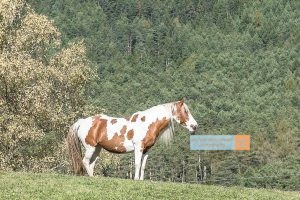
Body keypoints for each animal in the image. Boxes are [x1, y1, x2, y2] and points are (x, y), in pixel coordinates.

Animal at [67, 99, 198, 180]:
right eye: (186, 111)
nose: (195, 126)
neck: (147, 123)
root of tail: (82, 121)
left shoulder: (147, 150)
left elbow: (143, 165)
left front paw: (141, 180)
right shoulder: (138, 147)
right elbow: (137, 164)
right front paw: (135, 179)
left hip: (97, 149)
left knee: (91, 163)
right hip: (90, 147)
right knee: (85, 161)